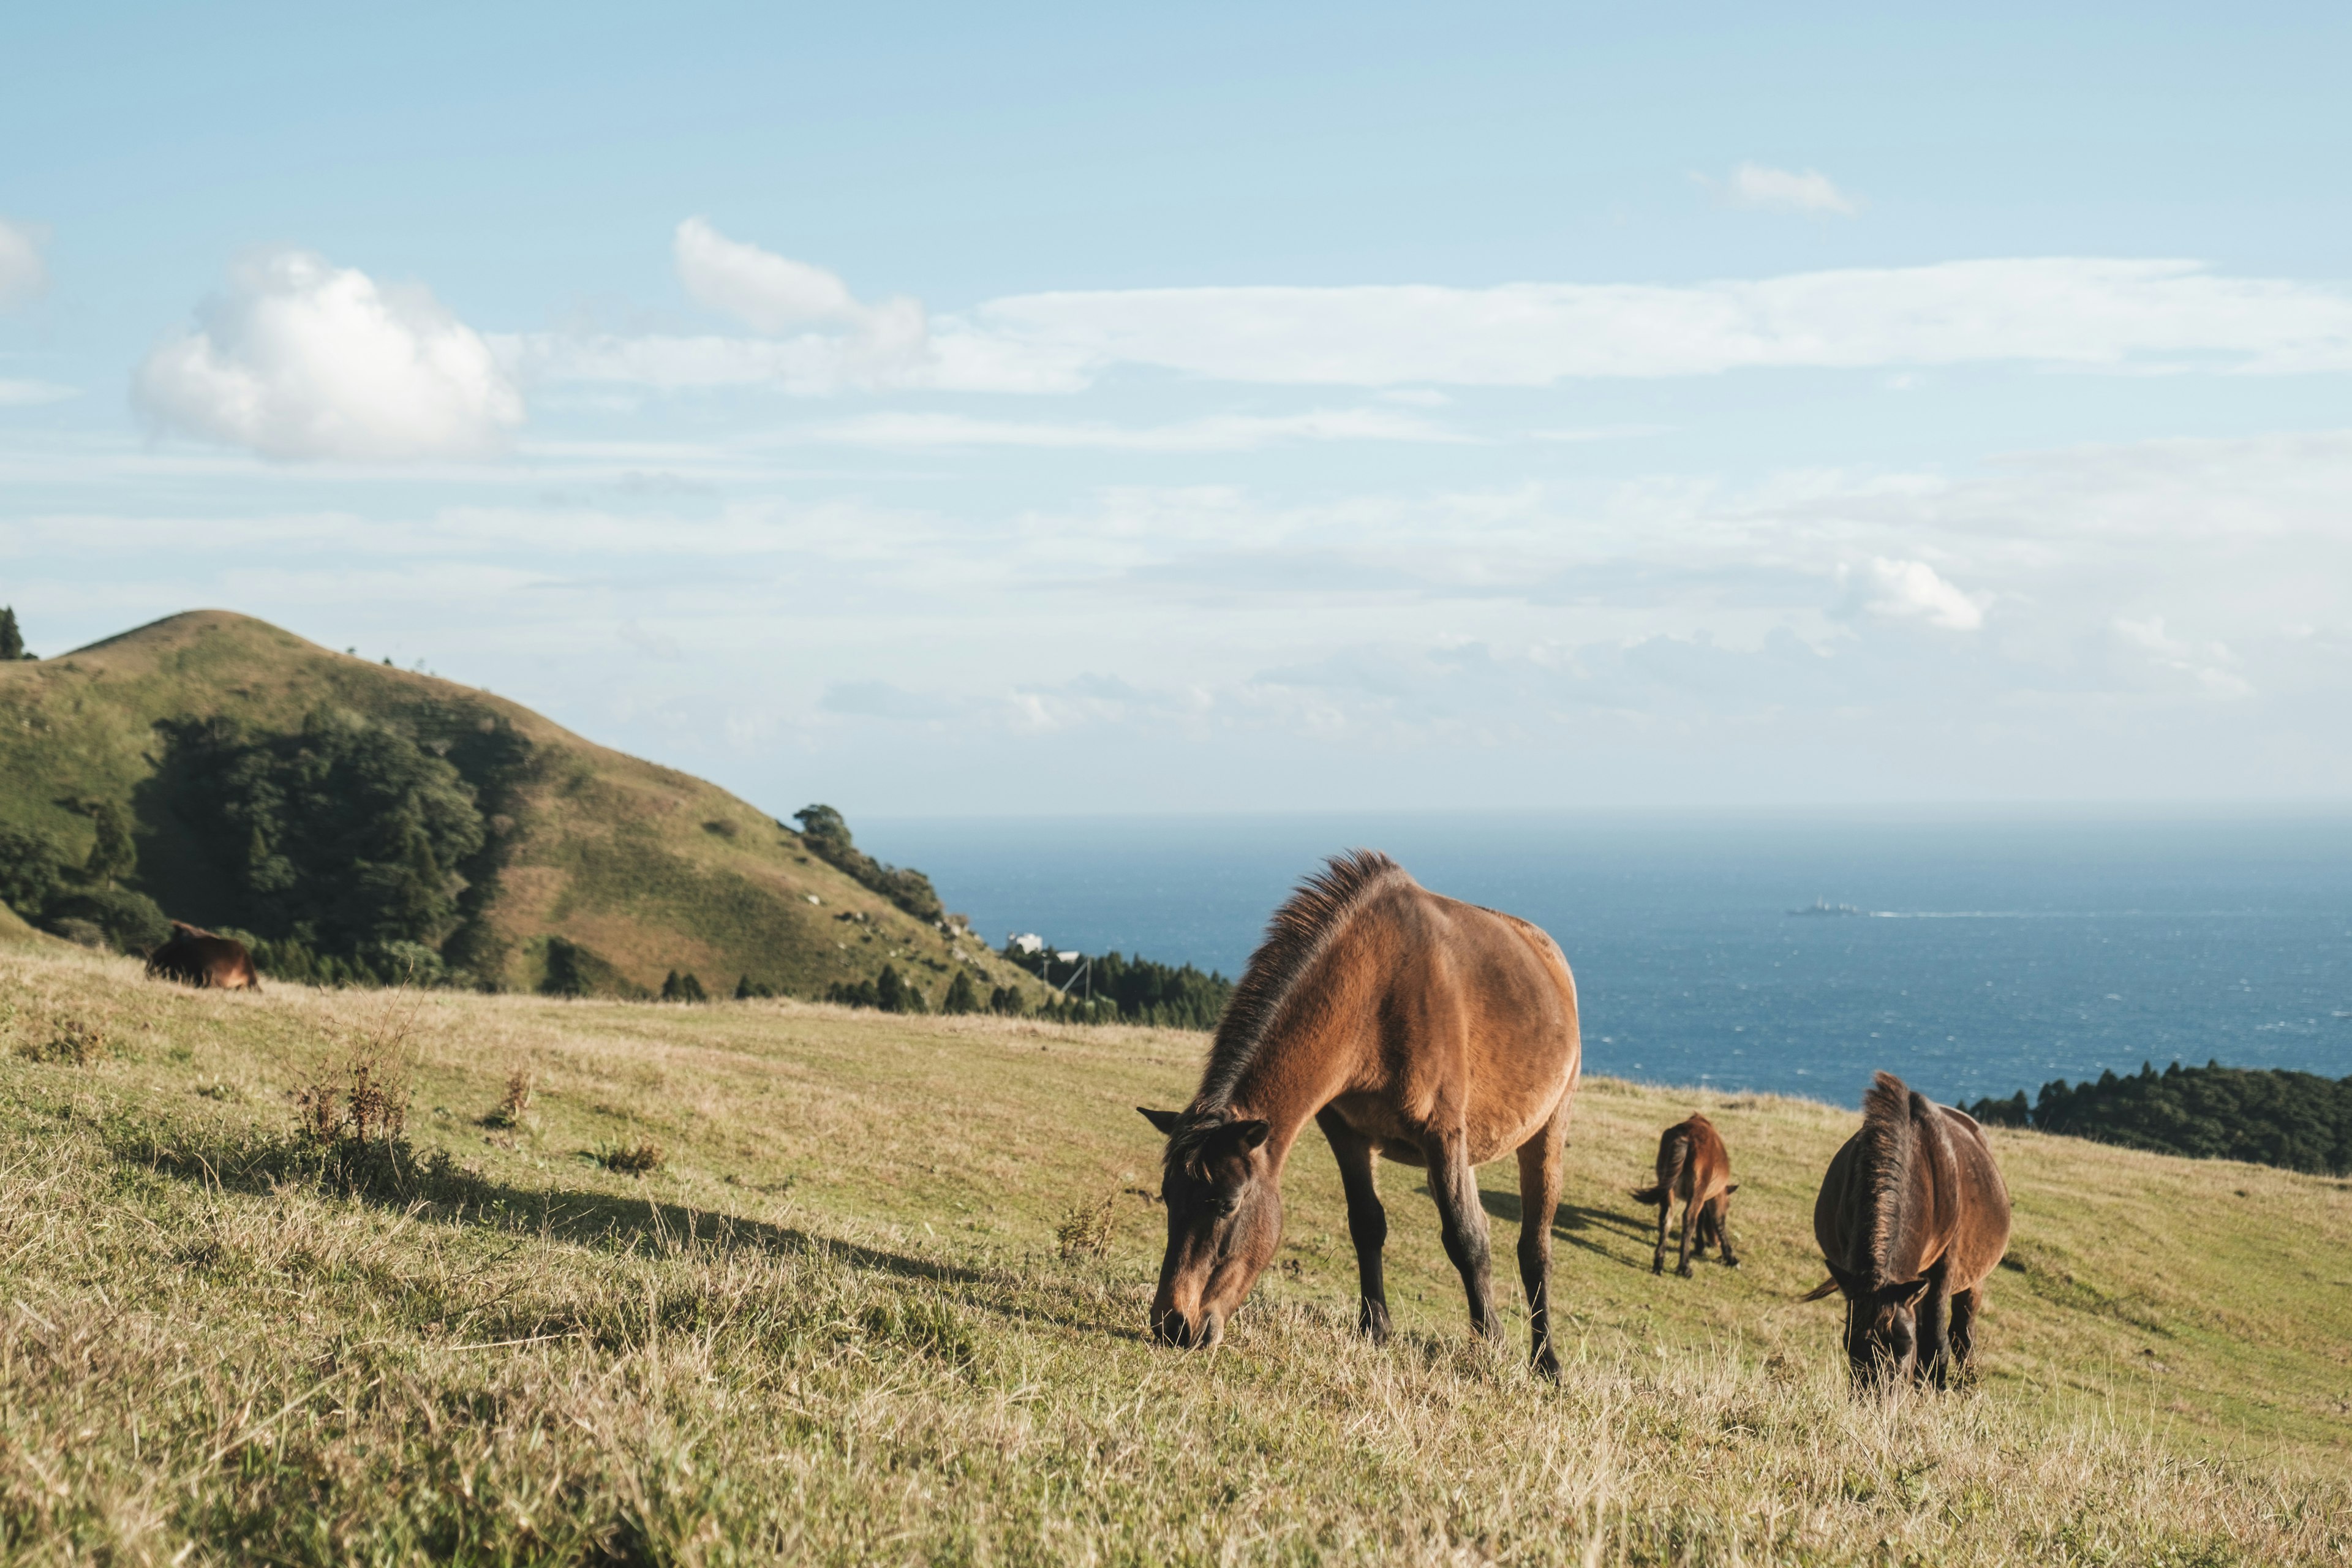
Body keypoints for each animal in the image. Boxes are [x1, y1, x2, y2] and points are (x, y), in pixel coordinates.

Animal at [1133, 851, 1580, 1382]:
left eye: (1225, 1205)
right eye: (1168, 1197)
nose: (1172, 1324)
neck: (1376, 993)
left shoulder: (1442, 1134)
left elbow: (1464, 1237)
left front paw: (1491, 1344)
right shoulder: (1346, 1131)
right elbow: (1367, 1223)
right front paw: (1375, 1329)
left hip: (1547, 1129)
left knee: (1534, 1250)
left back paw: (1546, 1360)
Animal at [1627, 1114, 1740, 1278]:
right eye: (1728, 1205)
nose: (1715, 1243)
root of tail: (1686, 1138)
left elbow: (1701, 1218)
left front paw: (1700, 1247)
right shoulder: (1714, 1197)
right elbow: (1718, 1221)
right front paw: (1730, 1257)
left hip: (1668, 1189)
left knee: (1666, 1218)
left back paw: (1658, 1264)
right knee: (1688, 1219)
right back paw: (1685, 1267)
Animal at [1796, 1072, 2003, 1392]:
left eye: (1903, 1346)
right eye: (1850, 1345)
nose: (1876, 1398)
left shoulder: (1943, 1268)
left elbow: (1934, 1342)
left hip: (1970, 1279)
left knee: (1962, 1332)